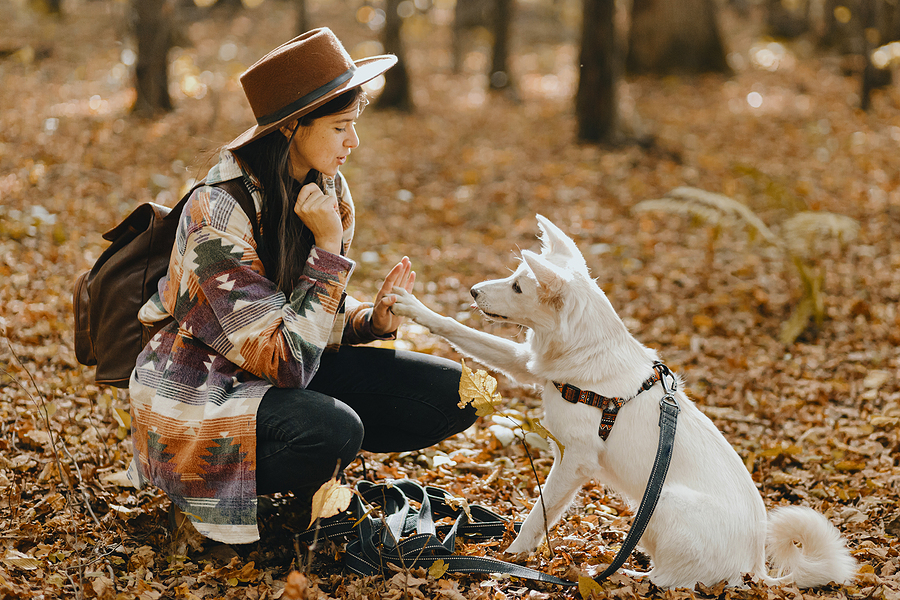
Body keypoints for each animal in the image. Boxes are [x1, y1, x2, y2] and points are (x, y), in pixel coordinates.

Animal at [390, 213, 856, 588]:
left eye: (519, 286)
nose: (472, 291)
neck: (590, 349)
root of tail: (756, 565)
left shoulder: (575, 461)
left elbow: (540, 513)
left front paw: (513, 558)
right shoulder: (526, 365)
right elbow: (456, 329)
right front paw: (411, 307)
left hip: (664, 503)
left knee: (674, 581)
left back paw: (621, 575)